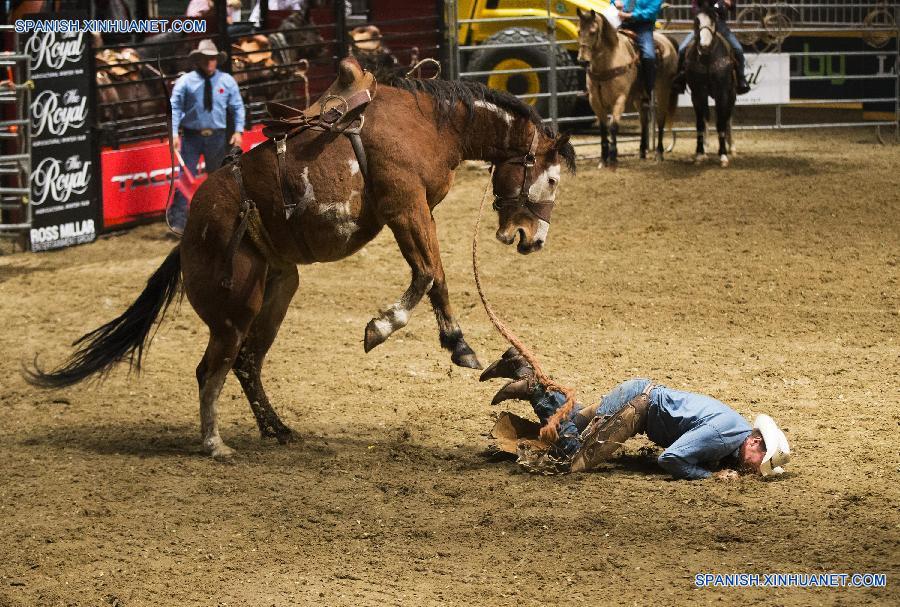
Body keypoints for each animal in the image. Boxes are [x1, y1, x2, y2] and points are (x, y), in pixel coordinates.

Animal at [26, 59, 577, 460]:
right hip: (233, 308)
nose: (532, 239)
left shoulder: (412, 211)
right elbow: (431, 274)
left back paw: (277, 428)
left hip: (277, 289)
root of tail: (187, 240)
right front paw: (420, 336)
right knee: (211, 369)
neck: (426, 124)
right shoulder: (406, 206)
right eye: (550, 178)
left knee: (246, 363)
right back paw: (215, 444)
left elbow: (429, 275)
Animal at [576, 8, 678, 168]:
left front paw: (613, 157)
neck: (607, 64)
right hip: (638, 97)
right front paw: (603, 159)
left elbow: (613, 126)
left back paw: (659, 153)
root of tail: (667, 40)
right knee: (644, 119)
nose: (582, 61)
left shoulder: (620, 99)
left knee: (660, 118)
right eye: (579, 31)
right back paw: (642, 152)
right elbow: (603, 128)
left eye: (593, 32)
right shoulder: (595, 101)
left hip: (663, 89)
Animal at [684, 0, 737, 167]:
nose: (704, 46)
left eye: (714, 20)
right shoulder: (697, 93)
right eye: (697, 20)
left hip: (732, 94)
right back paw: (705, 148)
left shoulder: (722, 93)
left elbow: (721, 123)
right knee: (707, 117)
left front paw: (723, 155)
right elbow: (700, 124)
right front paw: (700, 154)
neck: (708, 59)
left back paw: (732, 147)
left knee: (728, 118)